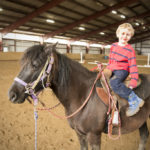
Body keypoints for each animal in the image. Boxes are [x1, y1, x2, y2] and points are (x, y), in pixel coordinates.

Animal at [7, 44, 150, 149]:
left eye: (35, 65)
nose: (12, 95)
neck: (83, 96)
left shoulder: (94, 136)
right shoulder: (79, 134)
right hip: (141, 121)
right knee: (144, 136)